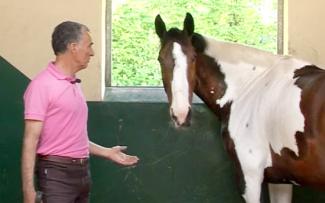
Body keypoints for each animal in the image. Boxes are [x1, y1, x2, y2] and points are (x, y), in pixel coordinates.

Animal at [154, 12, 324, 203]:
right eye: (160, 59)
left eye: (193, 58)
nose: (181, 114)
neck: (252, 87)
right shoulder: (280, 180)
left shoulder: (250, 177)